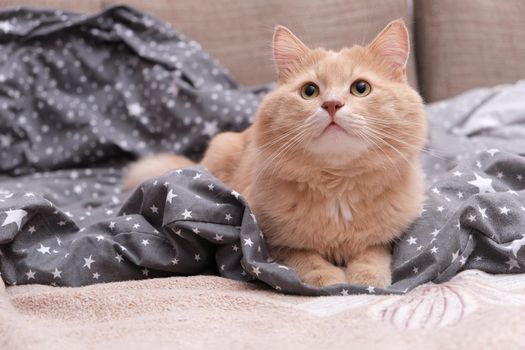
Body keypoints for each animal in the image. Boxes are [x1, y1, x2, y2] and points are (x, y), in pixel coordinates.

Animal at [123, 19, 426, 288]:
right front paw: (329, 279)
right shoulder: (271, 240)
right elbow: (306, 257)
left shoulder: (385, 238)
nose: (331, 105)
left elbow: (371, 254)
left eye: (361, 88)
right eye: (309, 91)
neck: (337, 188)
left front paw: (367, 277)